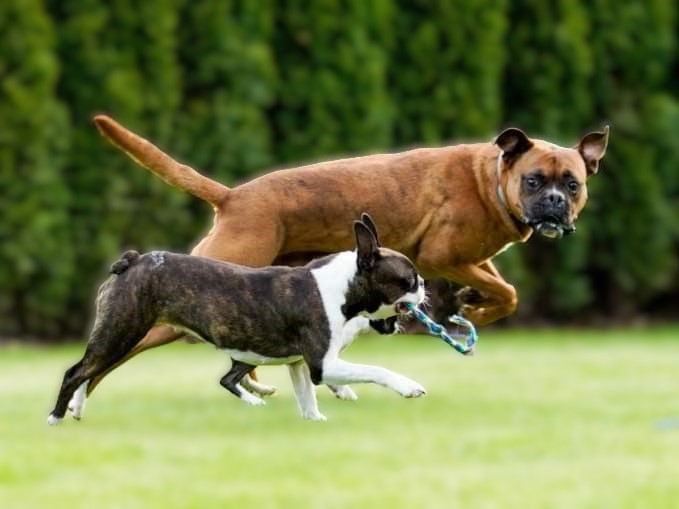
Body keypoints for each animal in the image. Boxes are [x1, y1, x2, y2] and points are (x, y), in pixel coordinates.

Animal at [47, 216, 426, 425]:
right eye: (408, 281)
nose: (424, 286)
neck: (342, 285)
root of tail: (134, 260)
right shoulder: (322, 364)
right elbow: (376, 370)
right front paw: (409, 386)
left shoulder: (299, 364)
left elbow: (307, 397)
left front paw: (315, 421)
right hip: (122, 332)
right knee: (77, 372)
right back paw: (55, 418)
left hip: (120, 335)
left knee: (90, 371)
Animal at [87, 116, 609, 397]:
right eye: (534, 181)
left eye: (573, 184)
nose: (555, 203)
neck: (491, 179)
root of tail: (233, 196)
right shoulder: (442, 256)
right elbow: (509, 290)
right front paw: (476, 310)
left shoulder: (472, 260)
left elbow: (502, 290)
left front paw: (470, 305)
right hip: (180, 307)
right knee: (115, 352)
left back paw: (253, 382)